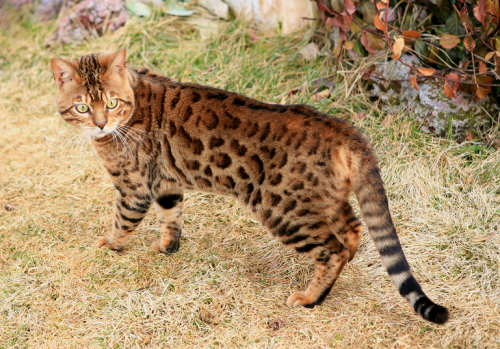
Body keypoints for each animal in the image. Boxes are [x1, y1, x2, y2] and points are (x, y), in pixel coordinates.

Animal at [50, 49, 450, 324]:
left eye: (111, 103)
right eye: (83, 107)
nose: (100, 125)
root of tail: (343, 128)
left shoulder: (134, 187)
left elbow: (122, 221)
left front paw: (109, 245)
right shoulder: (166, 184)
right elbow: (171, 217)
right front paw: (167, 246)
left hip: (282, 210)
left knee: (332, 248)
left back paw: (311, 298)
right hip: (325, 202)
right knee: (353, 231)